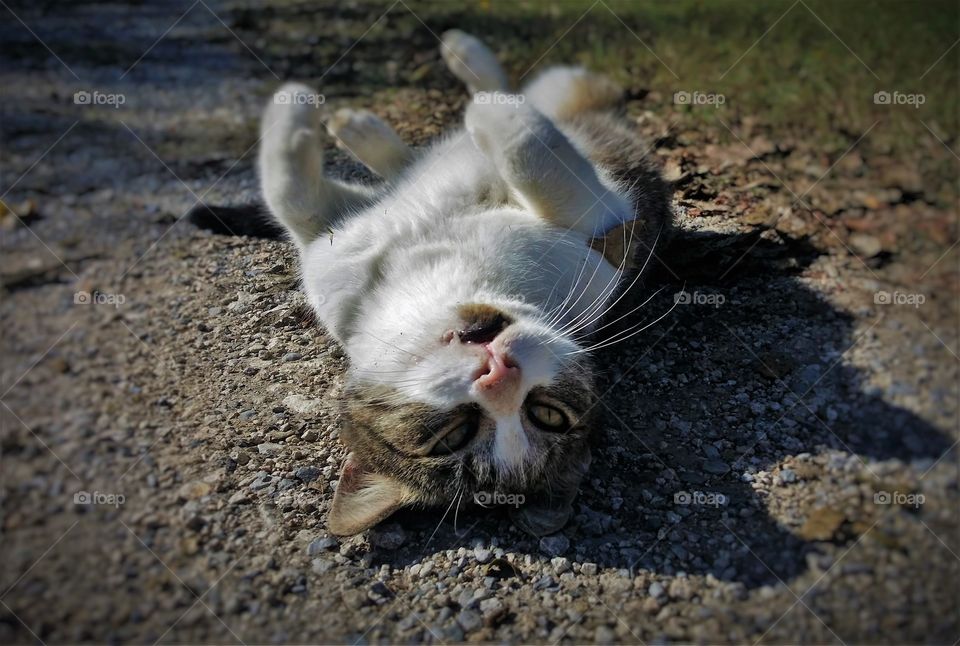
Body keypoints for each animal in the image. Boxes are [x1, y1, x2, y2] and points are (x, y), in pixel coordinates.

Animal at [258, 29, 672, 536]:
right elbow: (290, 195)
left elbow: (526, 148)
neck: (439, 281)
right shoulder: (333, 246)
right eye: (452, 437)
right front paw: (294, 104)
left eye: (546, 415)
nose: (497, 375)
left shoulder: (608, 223)